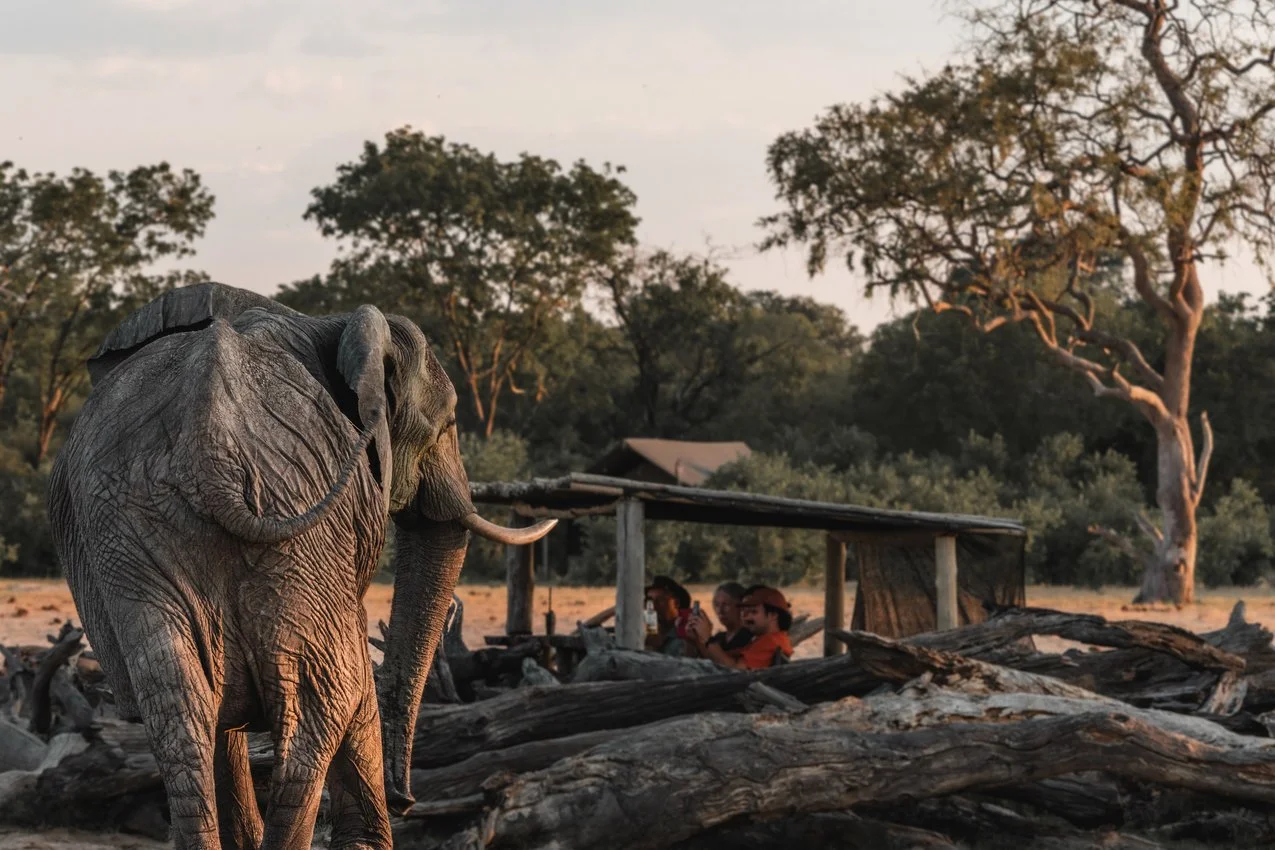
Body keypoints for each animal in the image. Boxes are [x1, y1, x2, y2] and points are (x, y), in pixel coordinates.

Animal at [46, 282, 554, 850]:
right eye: (445, 426)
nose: (406, 799)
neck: (326, 323)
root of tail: (211, 454)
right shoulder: (338, 535)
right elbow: (353, 678)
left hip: (139, 536)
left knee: (179, 708)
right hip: (288, 522)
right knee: (324, 702)